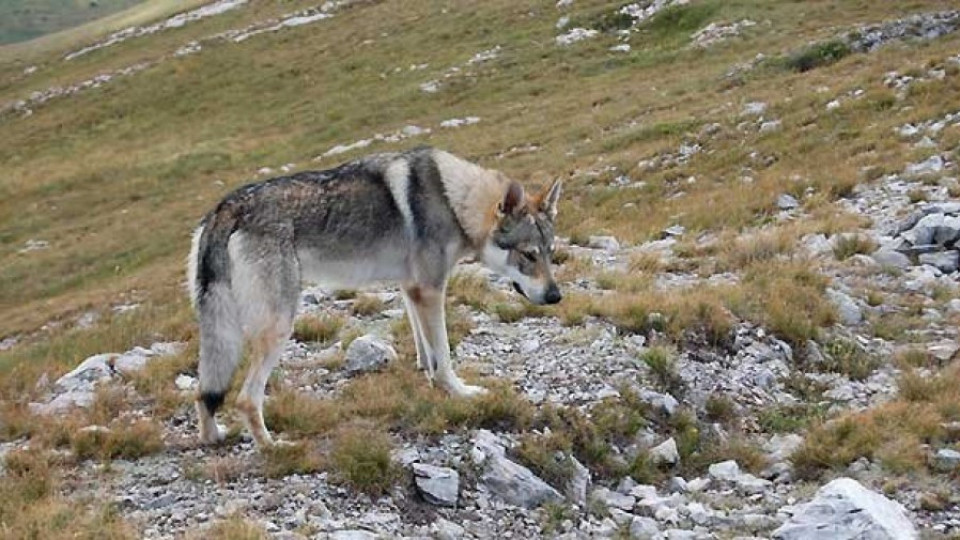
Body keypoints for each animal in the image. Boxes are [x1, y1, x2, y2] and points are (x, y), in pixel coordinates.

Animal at [187, 147, 564, 448]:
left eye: (549, 252)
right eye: (528, 255)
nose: (556, 296)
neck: (453, 202)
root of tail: (225, 208)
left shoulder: (411, 289)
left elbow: (427, 351)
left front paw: (429, 379)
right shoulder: (431, 289)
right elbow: (444, 354)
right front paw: (459, 392)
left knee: (204, 393)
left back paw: (212, 437)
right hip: (278, 327)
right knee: (246, 399)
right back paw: (272, 447)